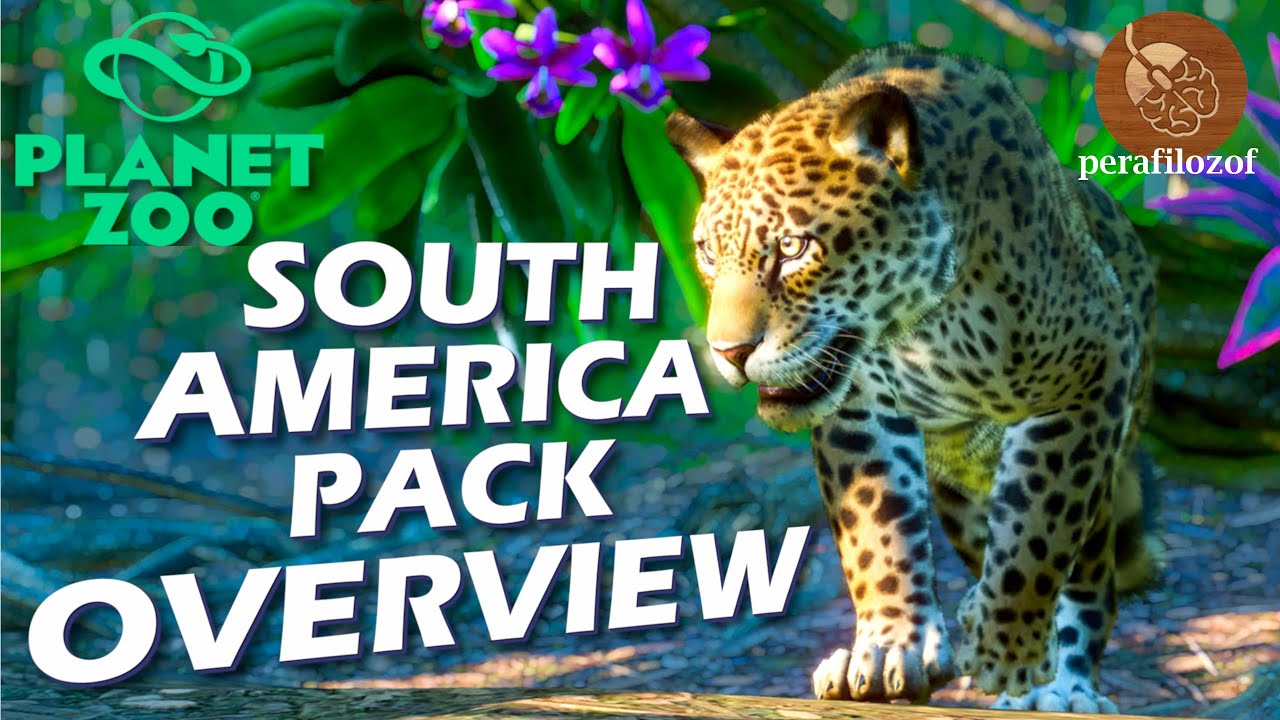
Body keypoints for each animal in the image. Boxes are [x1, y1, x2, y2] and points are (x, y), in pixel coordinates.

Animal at [665, 45, 1160, 713]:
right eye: (709, 254)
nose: (730, 351)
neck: (921, 330)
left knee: (1089, 577)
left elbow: (1038, 526)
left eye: (793, 248)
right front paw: (886, 651)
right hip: (963, 498)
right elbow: (876, 532)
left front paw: (1008, 648)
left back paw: (1061, 684)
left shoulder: (1090, 370)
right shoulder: (859, 411)